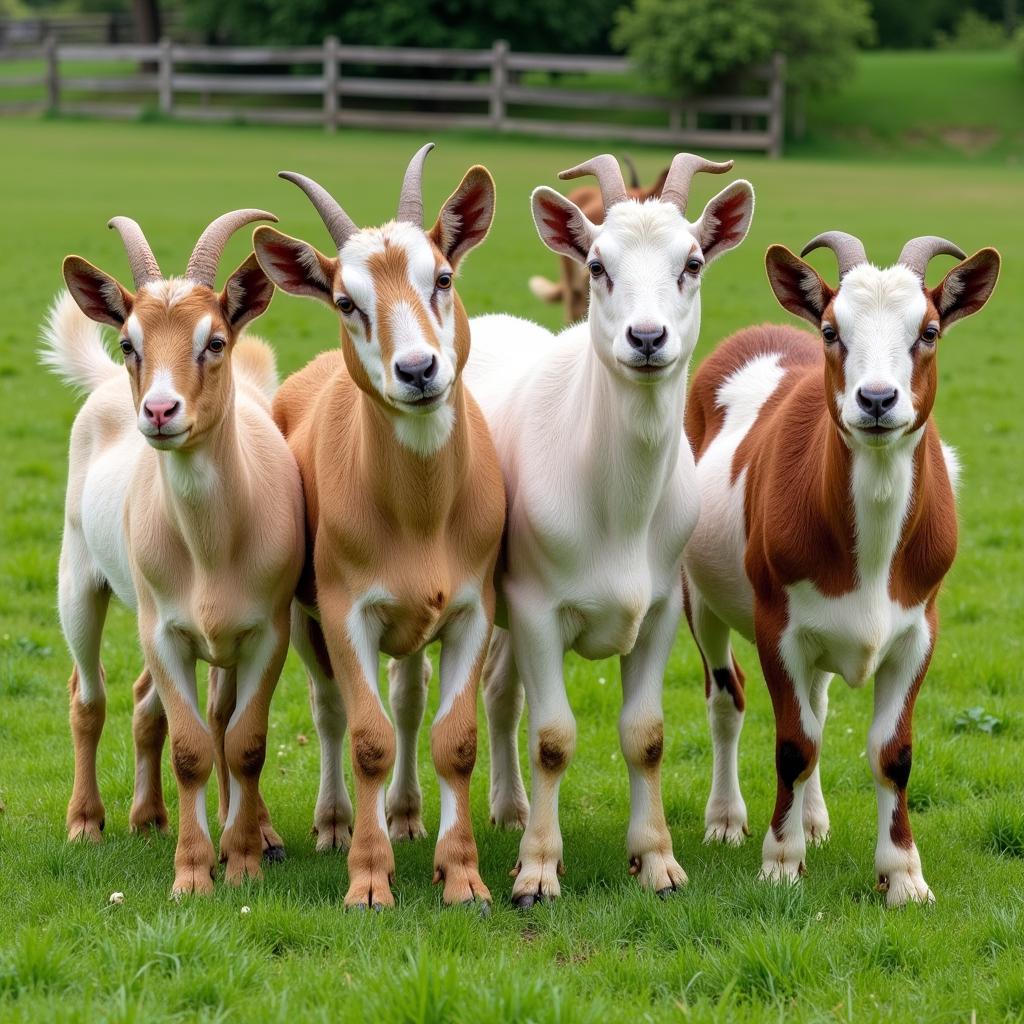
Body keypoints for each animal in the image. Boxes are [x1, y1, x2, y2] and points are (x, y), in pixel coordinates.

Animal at [47, 205, 303, 888]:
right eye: (130, 342)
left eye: (214, 341)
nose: (161, 412)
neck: (212, 546)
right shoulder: (161, 628)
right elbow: (191, 749)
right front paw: (192, 872)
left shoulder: (268, 630)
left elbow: (244, 742)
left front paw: (243, 862)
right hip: (78, 579)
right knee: (89, 696)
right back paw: (87, 822)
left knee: (151, 705)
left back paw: (153, 817)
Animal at [251, 144, 499, 913]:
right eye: (345, 300)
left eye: (442, 277)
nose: (417, 370)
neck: (419, 517)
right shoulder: (344, 610)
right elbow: (366, 737)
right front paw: (367, 878)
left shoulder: (472, 608)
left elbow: (454, 738)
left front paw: (463, 876)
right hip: (303, 619)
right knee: (331, 709)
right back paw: (335, 824)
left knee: (410, 703)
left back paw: (409, 816)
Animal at [679, 232, 999, 905]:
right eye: (832, 330)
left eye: (929, 331)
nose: (876, 400)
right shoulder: (778, 626)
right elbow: (794, 743)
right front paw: (780, 860)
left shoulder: (919, 629)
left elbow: (891, 752)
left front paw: (903, 874)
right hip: (698, 594)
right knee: (727, 697)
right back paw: (727, 818)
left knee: (818, 705)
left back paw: (815, 818)